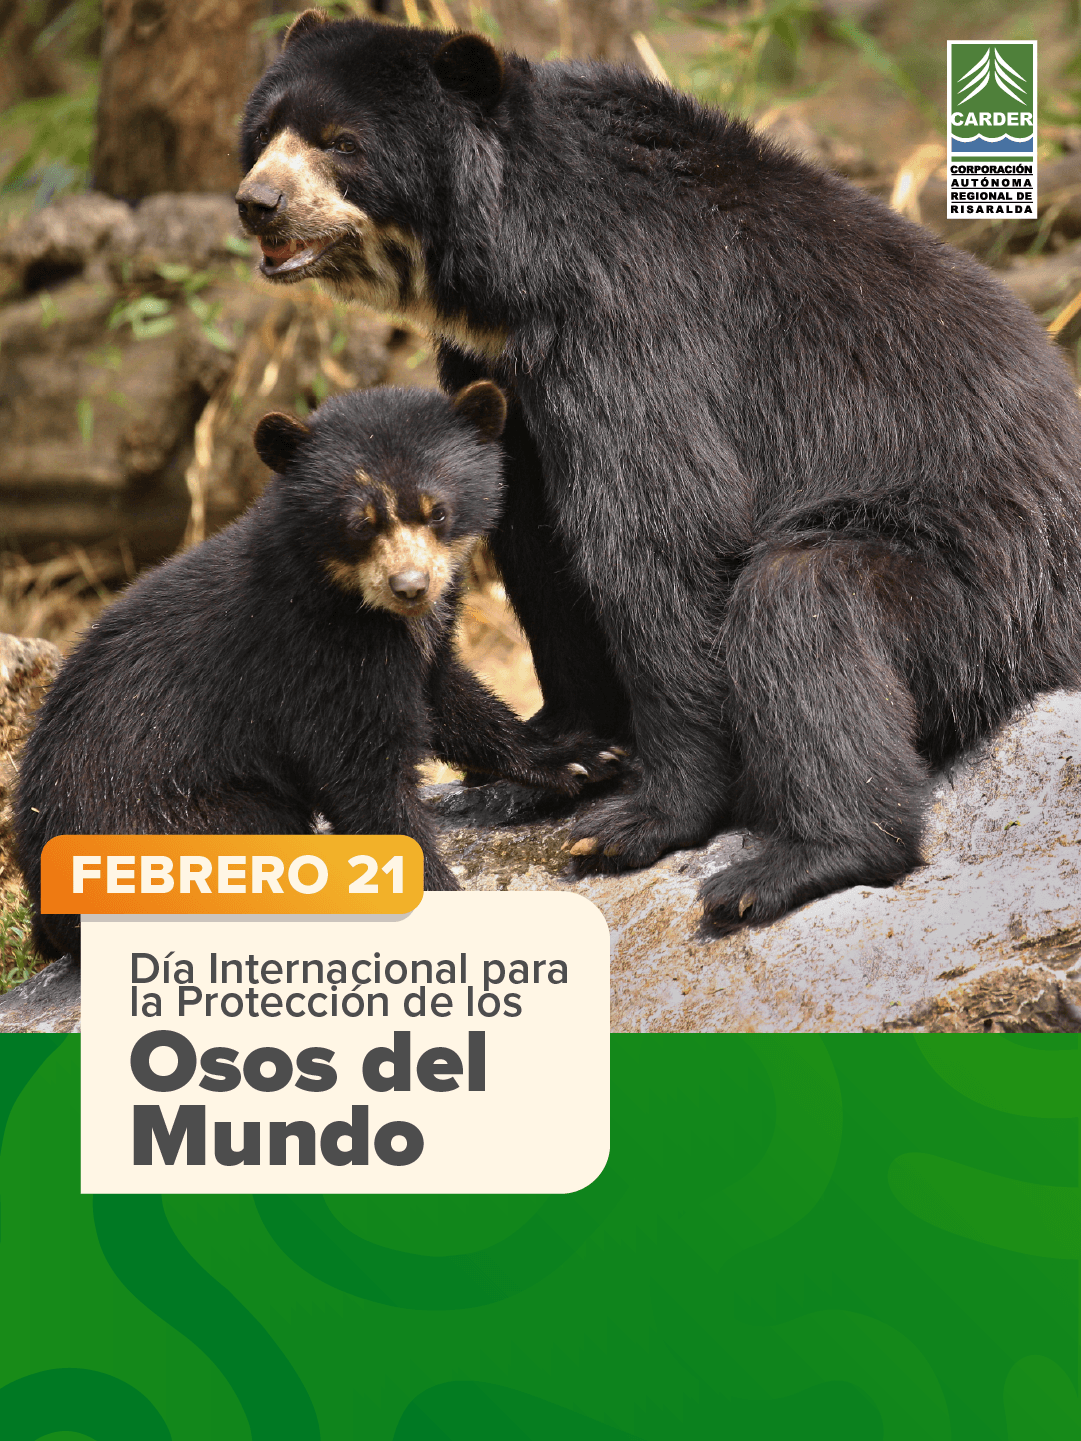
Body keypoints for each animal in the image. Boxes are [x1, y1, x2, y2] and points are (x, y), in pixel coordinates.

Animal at [16, 380, 619, 961]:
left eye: (438, 510)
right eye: (360, 524)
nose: (411, 587)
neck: (361, 608)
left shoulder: (412, 649)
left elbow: (450, 700)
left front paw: (583, 758)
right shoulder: (311, 660)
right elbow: (363, 779)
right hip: (175, 818)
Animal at [235, 14, 1081, 930]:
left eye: (341, 143)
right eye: (264, 131)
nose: (256, 204)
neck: (513, 270)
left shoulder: (633, 321)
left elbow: (660, 532)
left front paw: (635, 821)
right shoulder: (498, 369)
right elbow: (535, 543)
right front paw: (552, 762)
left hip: (981, 590)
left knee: (804, 602)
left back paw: (793, 861)